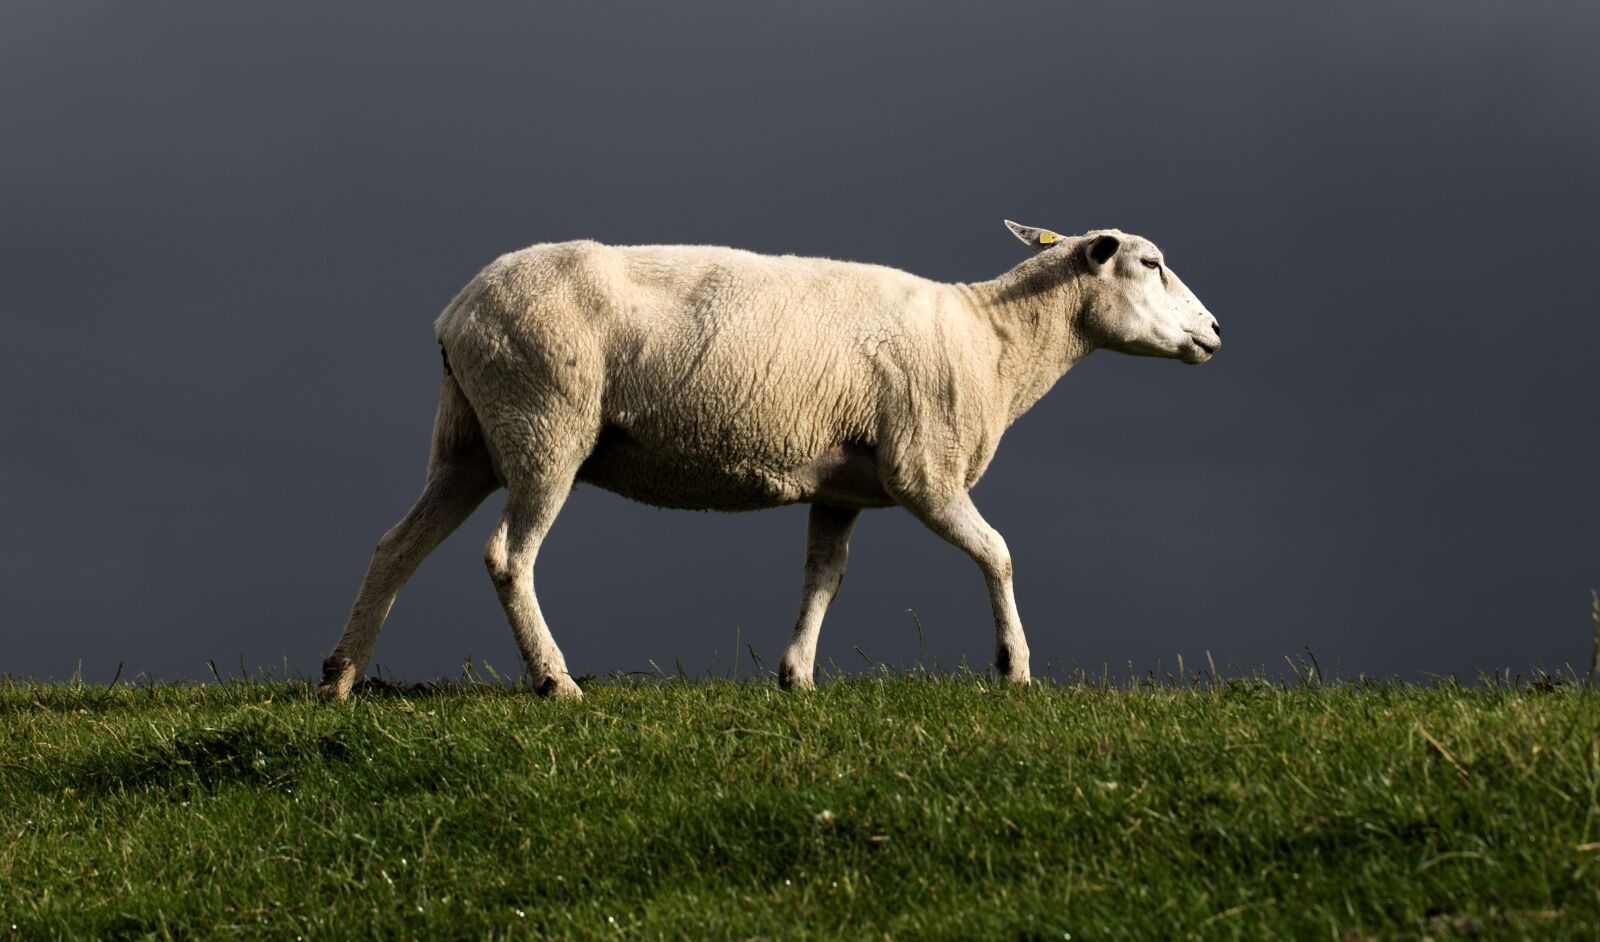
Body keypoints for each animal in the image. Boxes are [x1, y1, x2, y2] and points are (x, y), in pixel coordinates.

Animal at [317, 221, 1221, 700]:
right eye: (1150, 263)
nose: (1215, 332)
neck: (994, 340)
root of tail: (456, 311)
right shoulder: (922, 469)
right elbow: (998, 552)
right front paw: (1015, 669)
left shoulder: (845, 484)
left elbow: (824, 577)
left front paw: (797, 678)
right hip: (546, 421)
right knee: (508, 556)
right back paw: (555, 682)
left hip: (471, 437)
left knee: (395, 547)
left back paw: (340, 677)